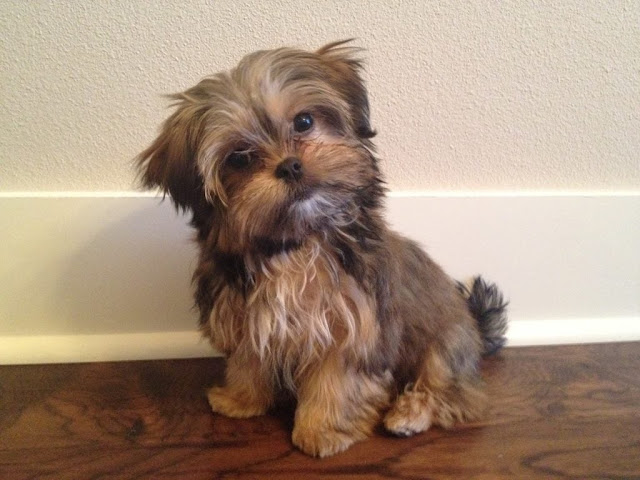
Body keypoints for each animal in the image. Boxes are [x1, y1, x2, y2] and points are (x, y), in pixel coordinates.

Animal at [138, 41, 508, 458]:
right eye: (239, 158)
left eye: (303, 122)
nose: (290, 166)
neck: (297, 245)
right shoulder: (246, 314)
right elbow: (248, 359)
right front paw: (241, 399)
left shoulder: (352, 325)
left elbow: (336, 381)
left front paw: (322, 430)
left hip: (444, 340)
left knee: (452, 390)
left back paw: (409, 413)